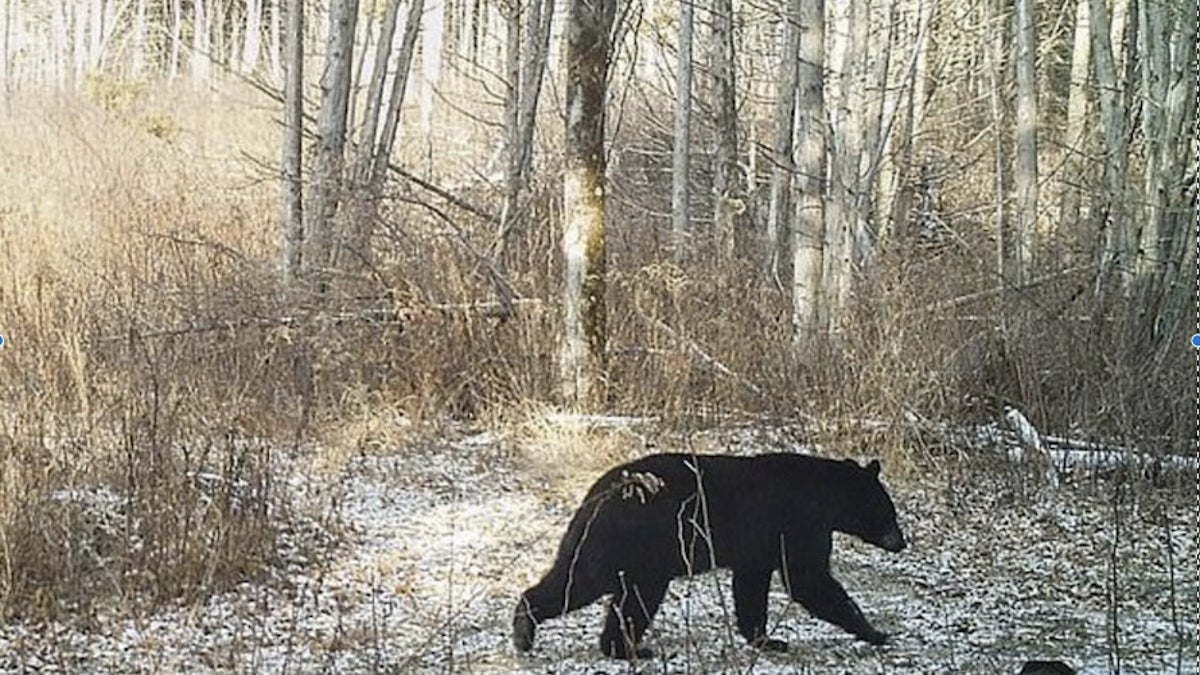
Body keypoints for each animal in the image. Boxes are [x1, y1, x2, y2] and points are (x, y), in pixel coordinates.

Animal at [511, 451, 902, 658]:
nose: (902, 542)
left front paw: (766, 639)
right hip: (627, 546)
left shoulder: (757, 548)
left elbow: (751, 587)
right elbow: (810, 580)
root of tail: (597, 494)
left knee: (592, 586)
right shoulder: (797, 525)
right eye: (889, 512)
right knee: (594, 586)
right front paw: (876, 632)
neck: (824, 496)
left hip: (614, 549)